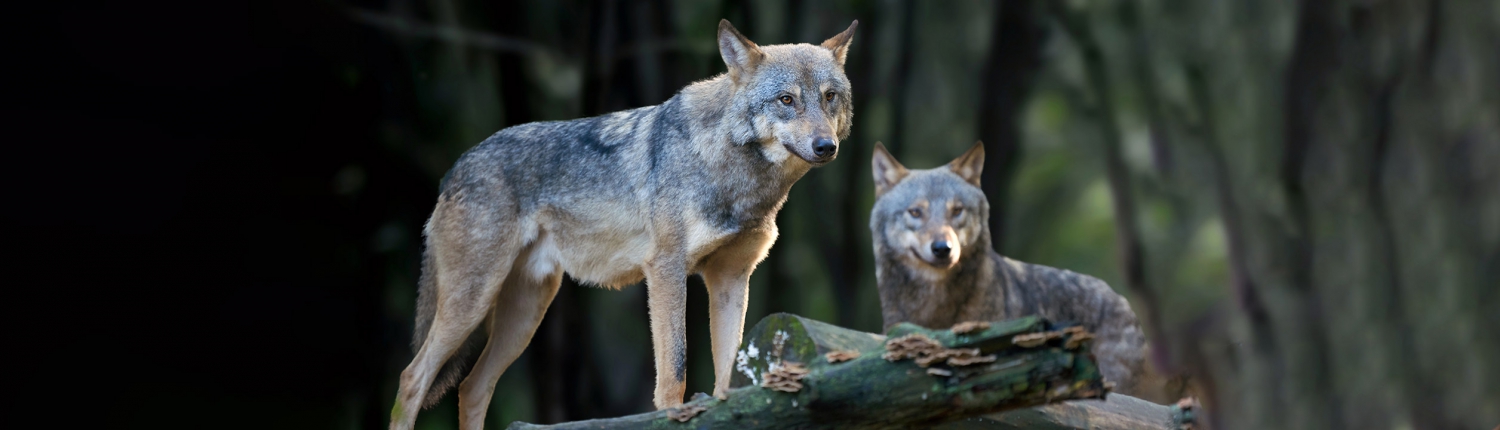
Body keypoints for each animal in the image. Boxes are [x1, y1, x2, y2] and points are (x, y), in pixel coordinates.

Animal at [393, 19, 864, 430]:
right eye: (786, 100)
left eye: (829, 97)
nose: (826, 146)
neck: (736, 176)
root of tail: (455, 169)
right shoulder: (666, 270)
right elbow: (675, 371)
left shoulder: (731, 279)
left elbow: (727, 376)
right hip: (473, 302)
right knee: (412, 379)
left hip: (525, 314)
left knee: (472, 387)